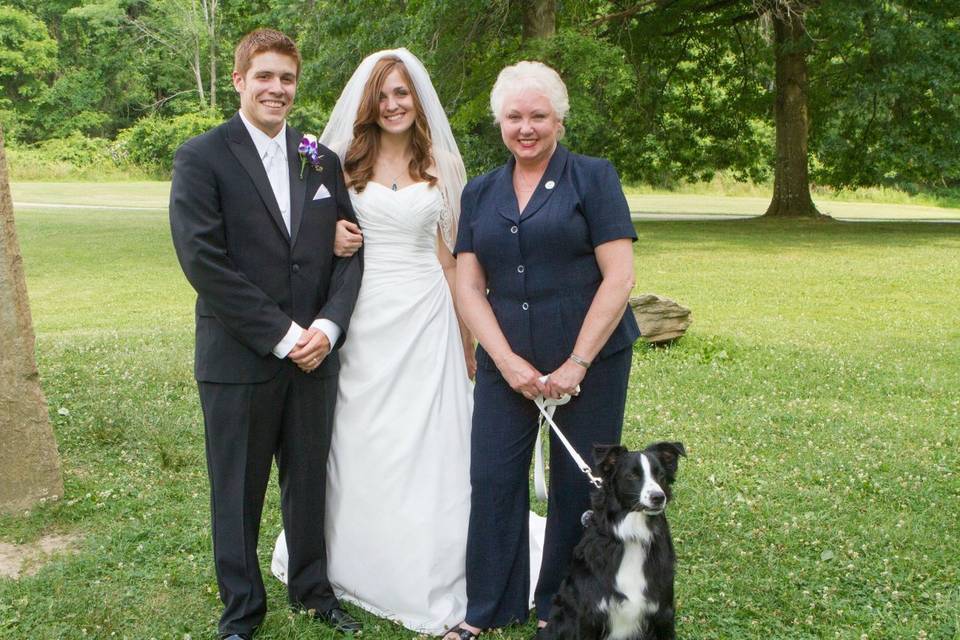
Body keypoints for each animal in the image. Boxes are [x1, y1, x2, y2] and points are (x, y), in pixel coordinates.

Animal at [544, 440, 688, 640]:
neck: (633, 535)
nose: (658, 497)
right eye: (632, 475)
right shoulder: (588, 616)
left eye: (660, 475)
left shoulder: (663, 611)